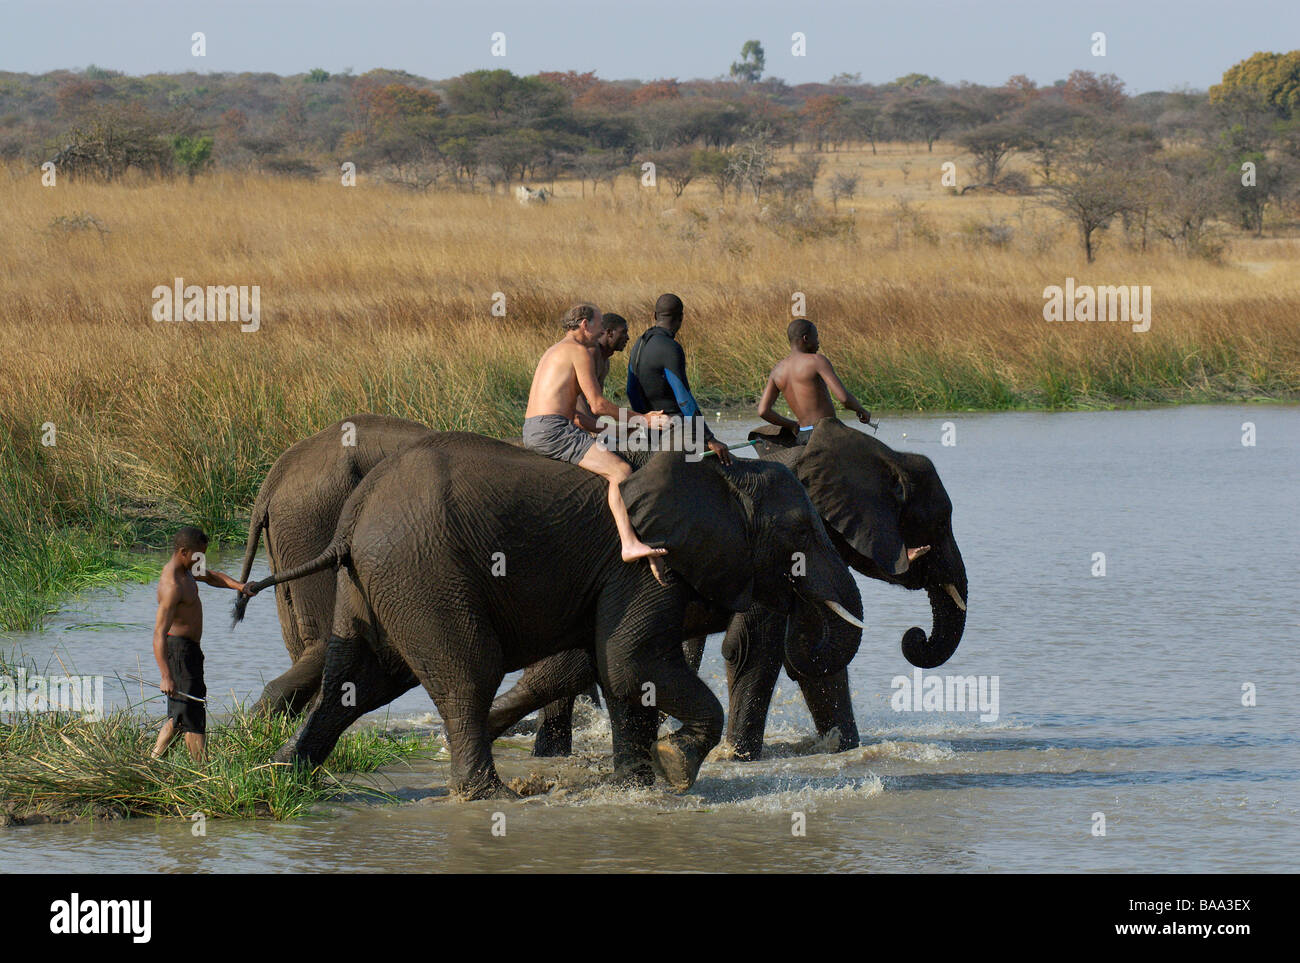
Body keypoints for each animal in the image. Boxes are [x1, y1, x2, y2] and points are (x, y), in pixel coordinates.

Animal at [496, 415, 967, 764]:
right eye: (939, 522)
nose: (914, 637)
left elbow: (818, 649)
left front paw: (843, 750)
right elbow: (754, 645)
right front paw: (740, 757)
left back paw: (547, 753)